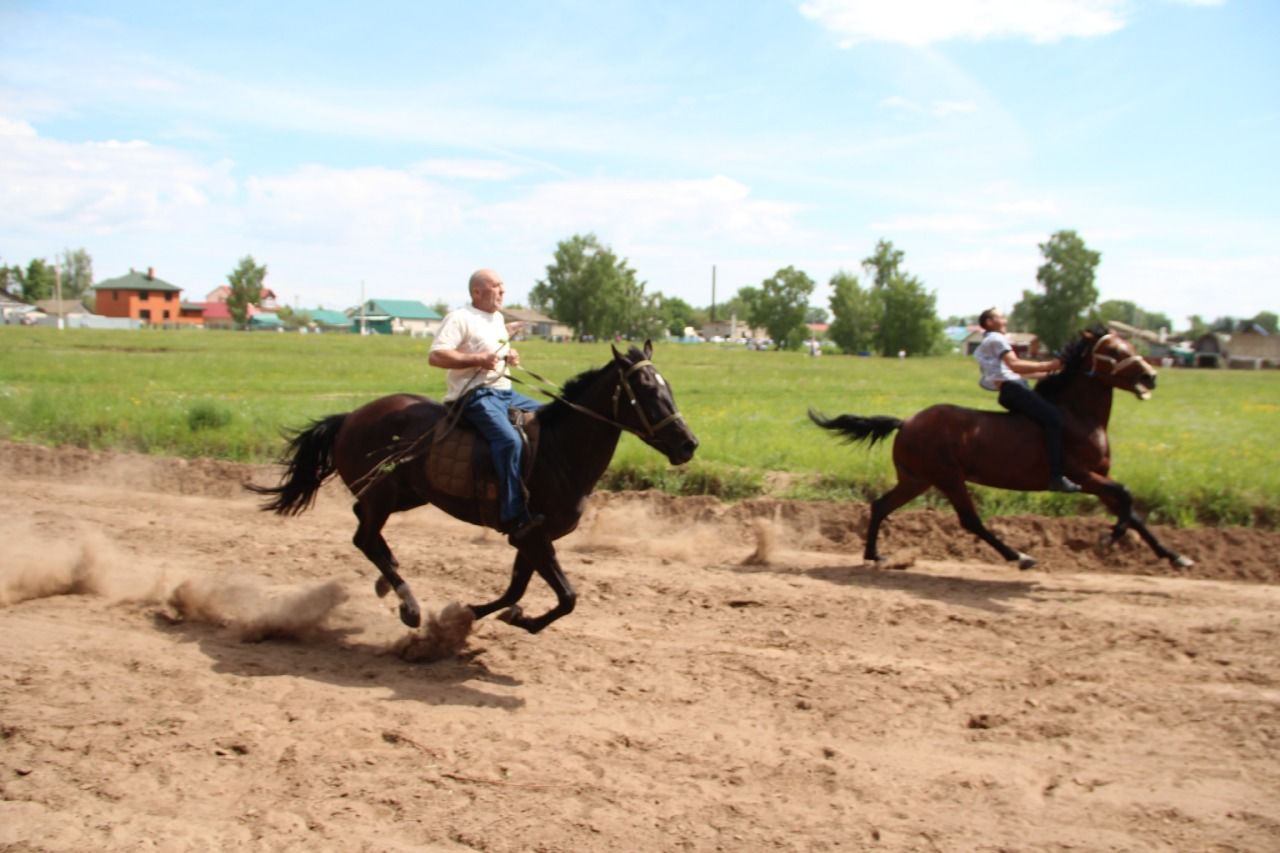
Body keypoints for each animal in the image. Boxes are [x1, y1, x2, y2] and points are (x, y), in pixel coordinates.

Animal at [249, 340, 701, 630]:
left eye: (668, 387)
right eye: (646, 389)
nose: (688, 444)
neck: (559, 450)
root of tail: (351, 416)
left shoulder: (531, 537)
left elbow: (516, 590)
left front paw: (480, 614)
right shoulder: (533, 535)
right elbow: (566, 597)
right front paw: (468, 619)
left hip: (406, 494)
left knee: (367, 530)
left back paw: (389, 579)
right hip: (385, 494)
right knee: (364, 536)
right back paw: (409, 605)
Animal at [814, 325, 1192, 571]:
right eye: (1114, 352)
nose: (1150, 376)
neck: (1078, 417)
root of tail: (906, 422)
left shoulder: (1099, 478)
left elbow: (1133, 510)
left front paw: (1176, 556)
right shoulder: (1082, 476)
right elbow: (1126, 496)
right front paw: (1110, 538)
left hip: (918, 479)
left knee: (881, 506)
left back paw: (874, 555)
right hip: (947, 478)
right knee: (970, 520)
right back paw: (1020, 556)